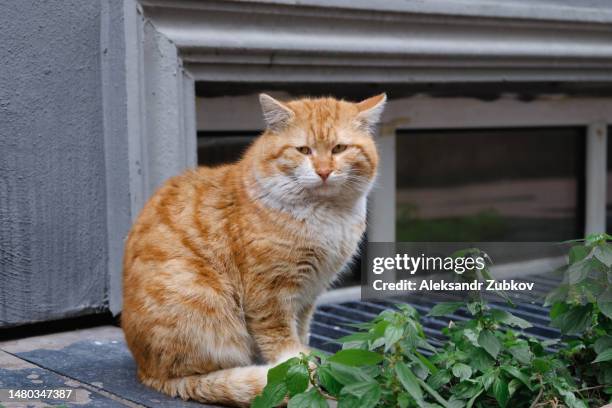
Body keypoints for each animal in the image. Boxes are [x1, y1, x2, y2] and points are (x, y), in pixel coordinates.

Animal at [121, 92, 384, 404]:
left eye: (339, 148)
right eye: (303, 150)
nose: (323, 171)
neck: (328, 217)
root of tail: (147, 372)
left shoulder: (309, 295)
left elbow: (302, 333)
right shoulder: (270, 297)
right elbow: (285, 348)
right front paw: (302, 374)